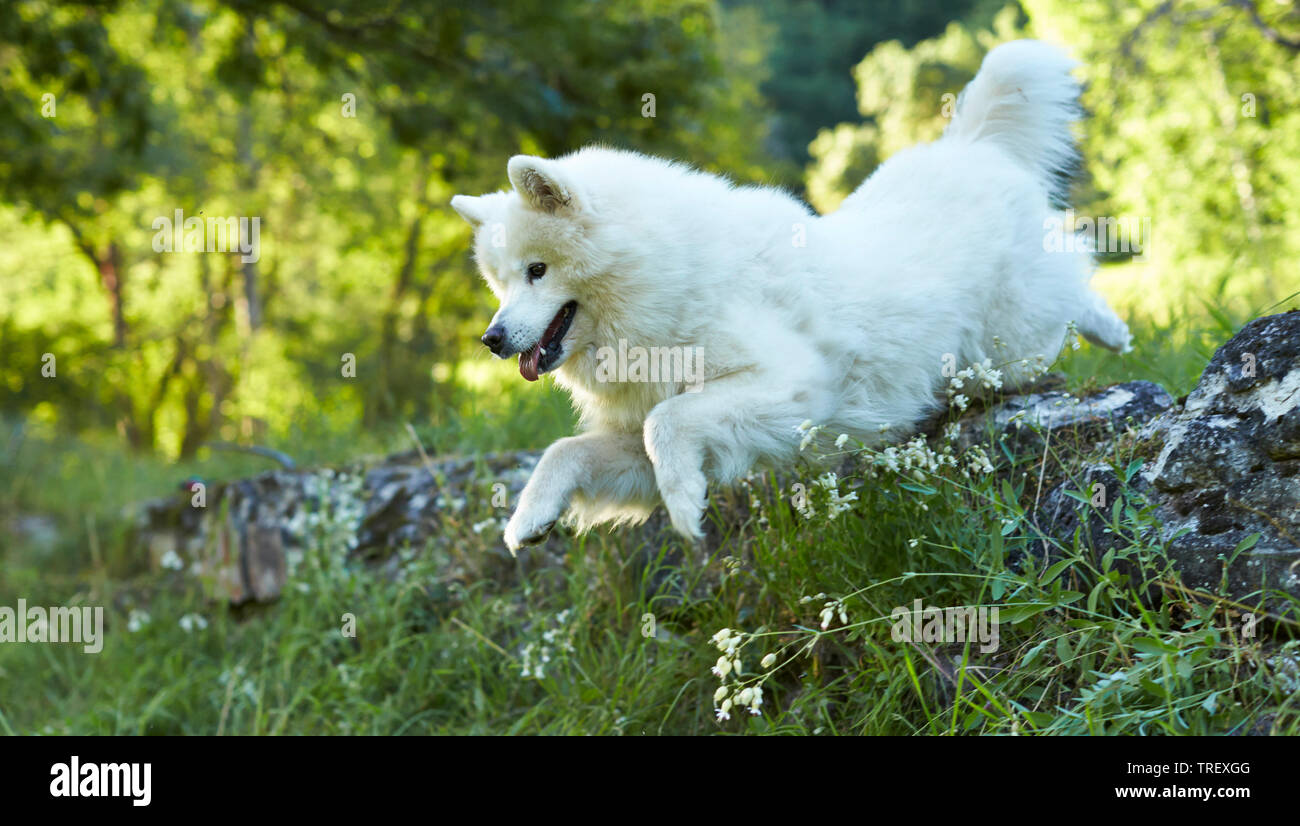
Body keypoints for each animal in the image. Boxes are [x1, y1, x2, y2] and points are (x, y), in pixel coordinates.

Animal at [449, 40, 1128, 556]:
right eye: (501, 283)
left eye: (538, 271)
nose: (491, 339)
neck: (664, 279)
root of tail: (973, 147)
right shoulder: (639, 429)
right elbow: (568, 451)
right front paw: (530, 519)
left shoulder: (790, 383)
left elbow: (668, 422)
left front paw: (685, 507)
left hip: (1011, 344)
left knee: (1073, 279)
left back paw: (1113, 329)